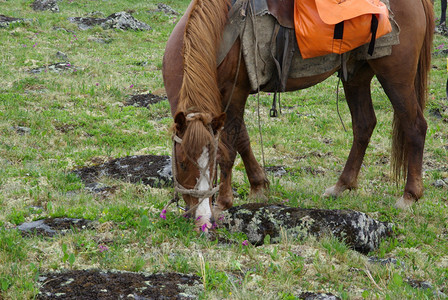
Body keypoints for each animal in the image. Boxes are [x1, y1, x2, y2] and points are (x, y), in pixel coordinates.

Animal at [163, 0, 436, 232]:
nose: (201, 218)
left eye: (208, 165)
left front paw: (223, 202)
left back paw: (410, 195)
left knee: (415, 126)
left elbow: (228, 150)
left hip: (396, 77)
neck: (218, 30)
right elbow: (243, 140)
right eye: (183, 163)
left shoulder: (235, 93)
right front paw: (259, 185)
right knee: (364, 125)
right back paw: (342, 185)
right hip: (358, 75)